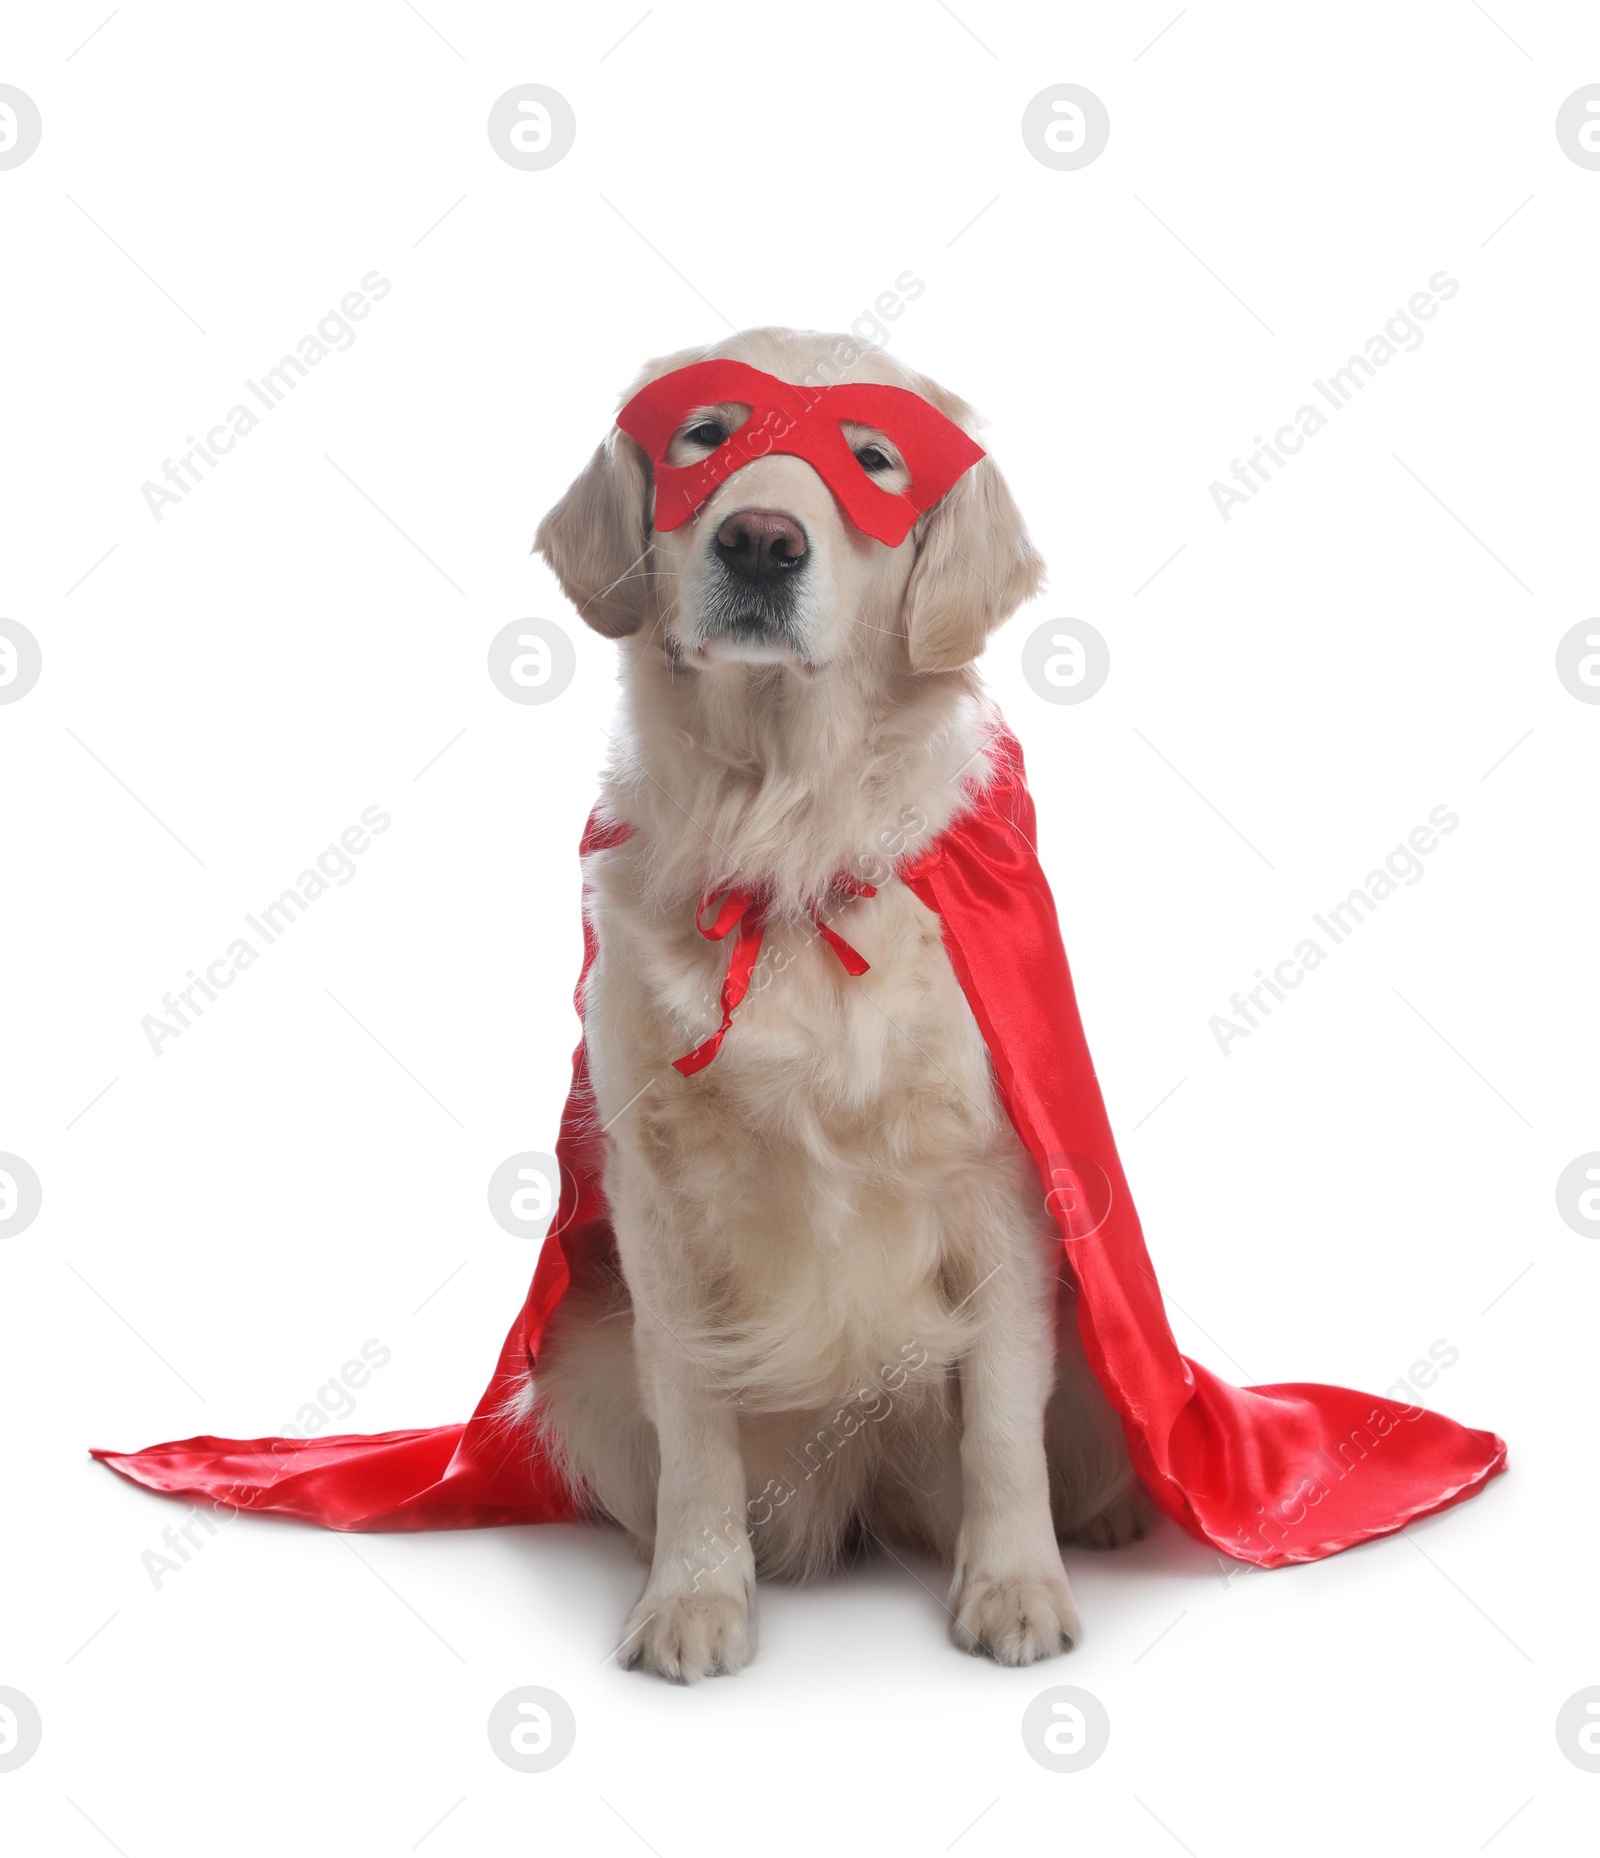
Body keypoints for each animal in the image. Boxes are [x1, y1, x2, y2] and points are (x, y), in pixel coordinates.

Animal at [531, 330, 1144, 1687]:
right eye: (705, 433)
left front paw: (1015, 1588)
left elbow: (1002, 1423)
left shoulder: (995, 1177)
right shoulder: (657, 1199)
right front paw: (693, 1598)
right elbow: (694, 1428)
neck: (784, 841)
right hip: (579, 1356)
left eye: (872, 460)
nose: (761, 541)